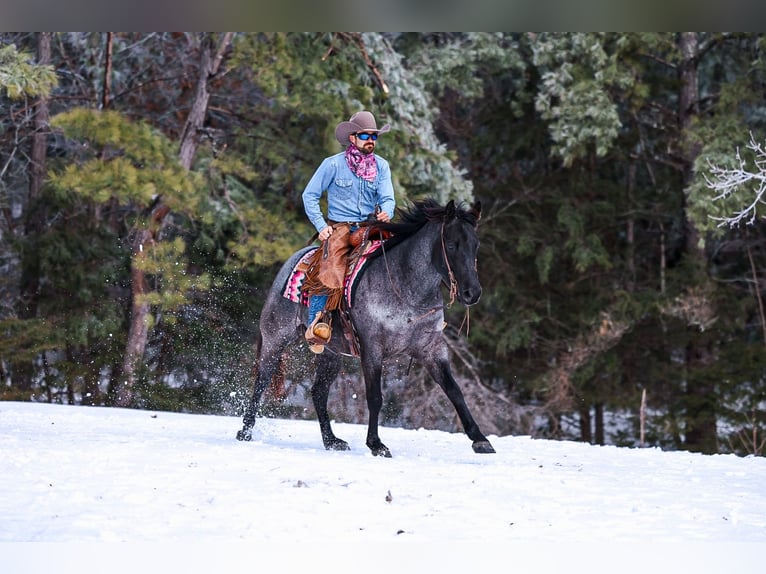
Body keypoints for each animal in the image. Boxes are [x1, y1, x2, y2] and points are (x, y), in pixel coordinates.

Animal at [236, 198, 495, 457]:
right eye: (451, 244)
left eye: (475, 245)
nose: (472, 293)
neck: (405, 287)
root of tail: (291, 263)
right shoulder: (372, 348)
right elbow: (375, 396)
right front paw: (376, 444)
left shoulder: (431, 348)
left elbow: (454, 390)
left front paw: (480, 440)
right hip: (276, 339)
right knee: (262, 380)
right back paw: (245, 432)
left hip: (331, 353)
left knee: (318, 391)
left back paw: (332, 441)